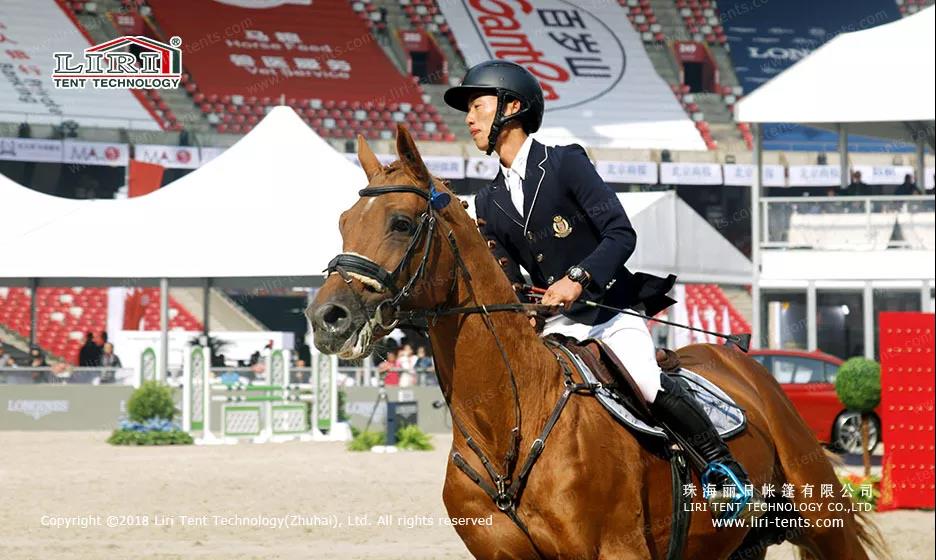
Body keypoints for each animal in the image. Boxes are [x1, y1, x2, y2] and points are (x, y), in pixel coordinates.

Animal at [308, 127, 884, 560]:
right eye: (343, 223)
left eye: (402, 223)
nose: (325, 317)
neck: (509, 423)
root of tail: (743, 363)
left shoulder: (617, 550)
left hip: (822, 515)